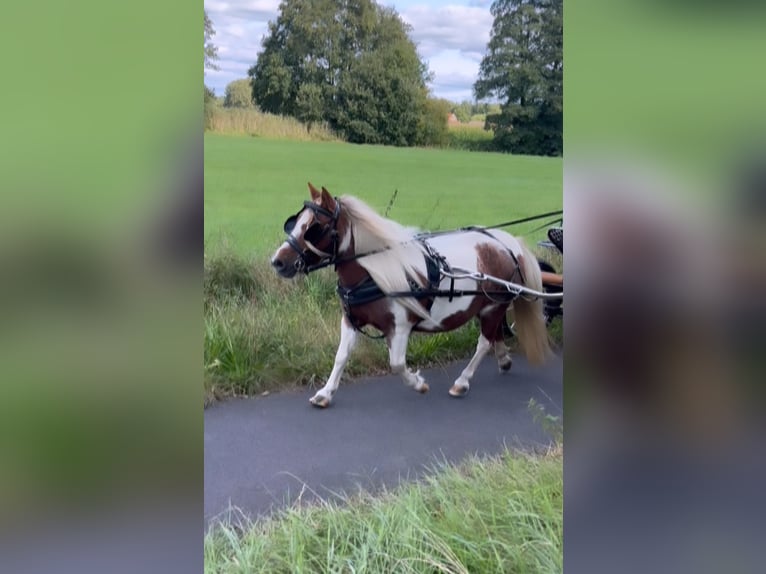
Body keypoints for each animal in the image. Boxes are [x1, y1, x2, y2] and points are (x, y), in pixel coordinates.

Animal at [272, 186, 552, 410]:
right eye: (294, 222)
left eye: (313, 227)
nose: (277, 261)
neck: (374, 272)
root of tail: (506, 243)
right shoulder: (350, 320)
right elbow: (341, 356)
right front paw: (325, 393)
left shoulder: (400, 327)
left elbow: (396, 363)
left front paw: (418, 384)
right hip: (488, 307)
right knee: (496, 336)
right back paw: (503, 360)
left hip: (492, 307)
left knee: (484, 343)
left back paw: (462, 382)